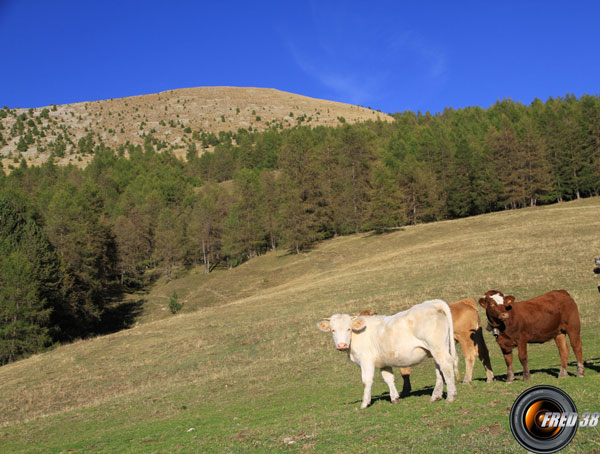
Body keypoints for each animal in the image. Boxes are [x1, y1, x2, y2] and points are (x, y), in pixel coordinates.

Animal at [316, 300, 458, 410]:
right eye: (333, 330)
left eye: (348, 328)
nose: (341, 345)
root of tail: (431, 303)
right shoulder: (384, 362)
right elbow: (389, 378)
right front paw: (394, 398)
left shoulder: (366, 360)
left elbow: (366, 381)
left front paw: (364, 403)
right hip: (437, 348)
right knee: (439, 369)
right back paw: (436, 396)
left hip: (437, 347)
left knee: (446, 365)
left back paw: (451, 396)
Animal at [358, 300, 494, 396]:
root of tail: (465, 302)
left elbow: (404, 371)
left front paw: (405, 389)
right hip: (477, 337)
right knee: (484, 353)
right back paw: (489, 378)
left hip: (465, 338)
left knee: (470, 356)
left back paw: (466, 380)